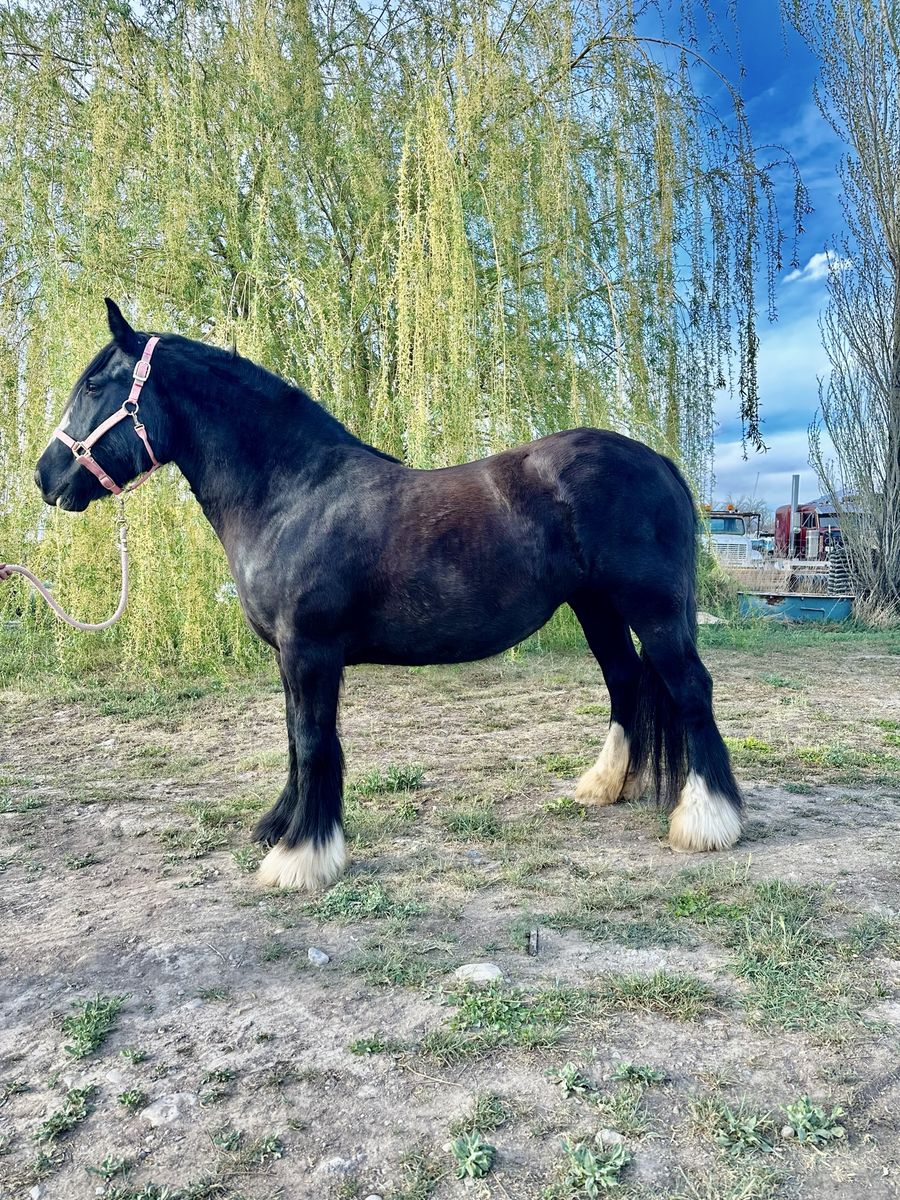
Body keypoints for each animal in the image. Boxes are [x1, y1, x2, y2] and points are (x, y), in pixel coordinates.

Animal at [34, 299, 744, 890]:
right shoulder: (289, 656)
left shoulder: (311, 651)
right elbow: (294, 739)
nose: (46, 476)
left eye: (94, 386)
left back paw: (707, 821)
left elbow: (314, 741)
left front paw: (301, 858)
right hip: (595, 607)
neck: (293, 493)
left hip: (652, 610)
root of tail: (659, 462)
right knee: (624, 680)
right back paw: (602, 788)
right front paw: (280, 827)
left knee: (689, 688)